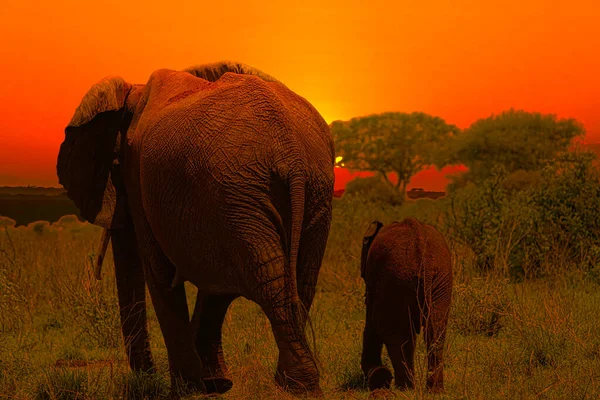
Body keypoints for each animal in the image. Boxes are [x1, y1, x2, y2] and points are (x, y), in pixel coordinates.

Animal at [56, 61, 336, 396]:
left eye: (114, 167)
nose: (146, 377)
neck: (132, 94)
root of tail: (290, 151)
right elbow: (215, 285)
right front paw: (214, 384)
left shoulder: (142, 179)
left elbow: (161, 274)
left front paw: (187, 389)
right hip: (302, 191)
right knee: (298, 278)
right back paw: (294, 382)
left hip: (241, 188)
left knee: (269, 280)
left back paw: (294, 386)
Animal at [358, 217, 452, 392]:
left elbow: (372, 321)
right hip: (439, 279)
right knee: (435, 332)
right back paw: (434, 391)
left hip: (397, 278)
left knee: (397, 336)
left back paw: (405, 388)